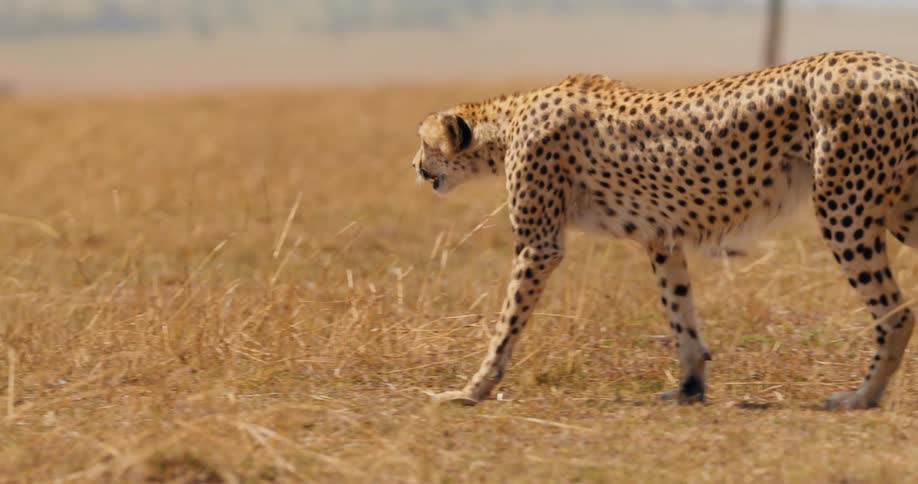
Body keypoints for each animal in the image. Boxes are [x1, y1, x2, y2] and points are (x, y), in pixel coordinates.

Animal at [410, 50, 918, 410]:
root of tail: (899, 67)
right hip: (898, 211)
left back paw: (862, 397)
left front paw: (470, 390)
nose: (414, 166)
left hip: (843, 210)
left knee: (896, 313)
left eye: (423, 142)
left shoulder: (539, 245)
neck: (507, 119)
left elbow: (506, 324)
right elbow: (680, 313)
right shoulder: (662, 237)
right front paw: (690, 387)